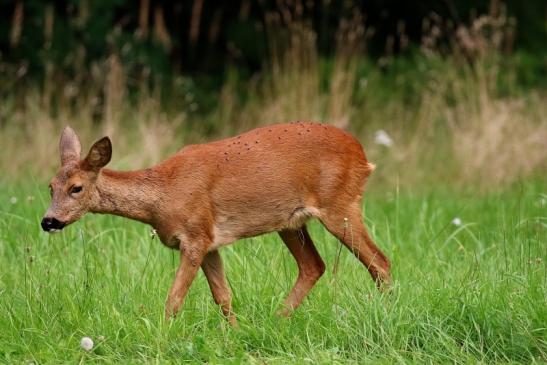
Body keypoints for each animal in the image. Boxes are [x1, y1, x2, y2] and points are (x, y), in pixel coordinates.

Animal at [41, 122, 390, 324]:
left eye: (76, 188)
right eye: (50, 186)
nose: (48, 221)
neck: (163, 194)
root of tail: (362, 156)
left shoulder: (195, 235)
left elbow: (174, 299)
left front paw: (162, 337)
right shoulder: (209, 241)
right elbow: (223, 296)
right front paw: (235, 334)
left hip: (339, 203)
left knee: (379, 261)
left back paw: (382, 314)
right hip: (290, 222)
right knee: (313, 265)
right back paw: (276, 321)